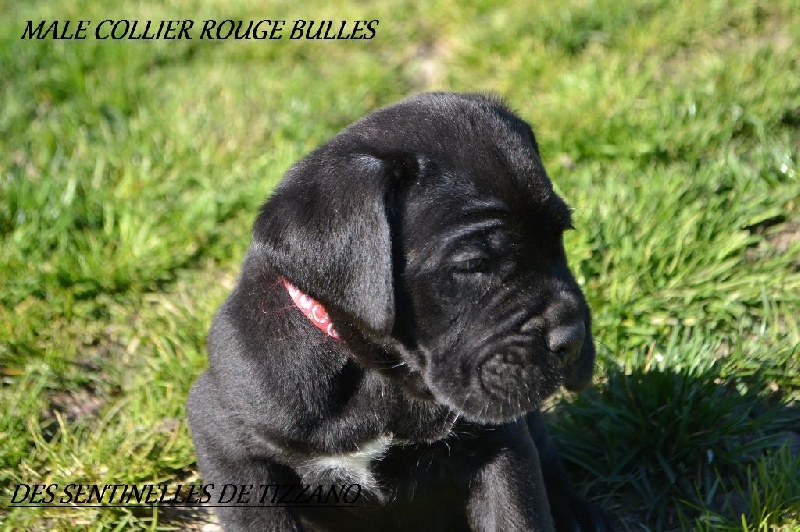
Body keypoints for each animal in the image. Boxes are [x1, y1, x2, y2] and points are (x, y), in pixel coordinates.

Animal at [188, 93, 608, 528]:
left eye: (560, 234)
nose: (572, 339)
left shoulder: (501, 442)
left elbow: (518, 516)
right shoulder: (228, 444)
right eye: (474, 264)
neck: (378, 372)